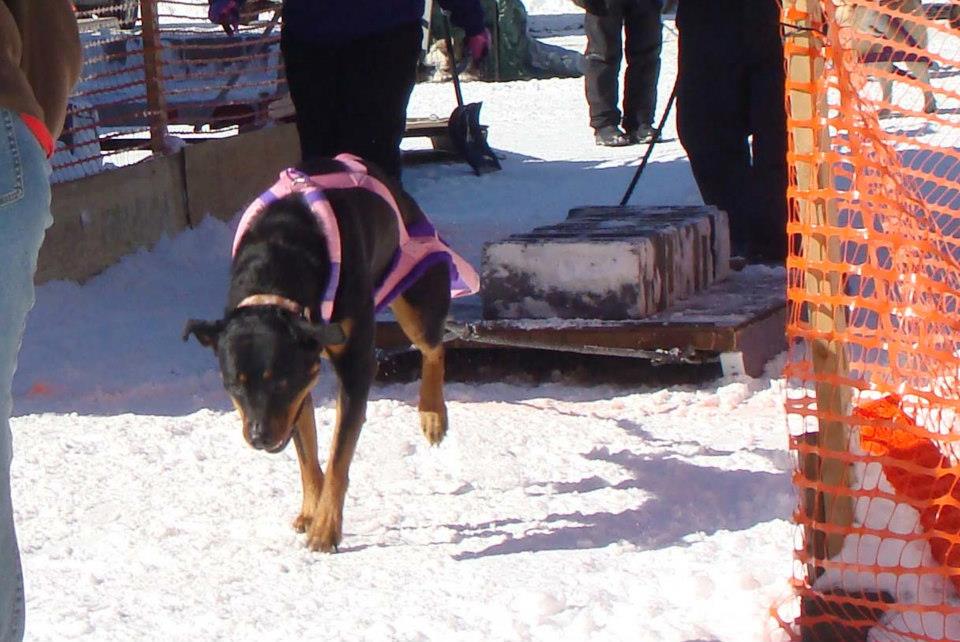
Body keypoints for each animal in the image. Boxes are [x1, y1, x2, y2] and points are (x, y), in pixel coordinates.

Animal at [185, 155, 464, 552]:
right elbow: (306, 454)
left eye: (279, 382)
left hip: (417, 297)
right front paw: (311, 510)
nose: (258, 436)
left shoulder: (350, 366)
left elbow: (337, 458)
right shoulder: (301, 386)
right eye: (233, 386)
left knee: (434, 345)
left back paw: (432, 414)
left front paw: (326, 528)